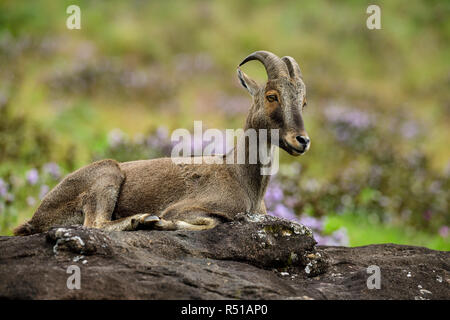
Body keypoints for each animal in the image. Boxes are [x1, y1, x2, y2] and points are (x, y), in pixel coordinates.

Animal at [14, 50, 310, 235]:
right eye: (272, 96)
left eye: (304, 102)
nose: (302, 140)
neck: (240, 176)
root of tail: (37, 215)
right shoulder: (184, 208)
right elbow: (207, 222)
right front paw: (158, 222)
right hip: (107, 174)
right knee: (95, 224)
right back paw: (141, 219)